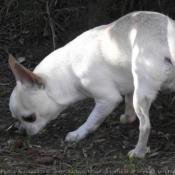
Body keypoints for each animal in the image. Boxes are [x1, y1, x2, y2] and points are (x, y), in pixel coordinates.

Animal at [8, 11, 174, 158]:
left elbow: (92, 119)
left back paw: (138, 152)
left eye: (29, 118)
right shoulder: (130, 84)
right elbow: (128, 100)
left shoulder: (108, 99)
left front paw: (78, 134)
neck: (69, 71)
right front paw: (128, 117)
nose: (22, 132)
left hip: (141, 94)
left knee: (145, 126)